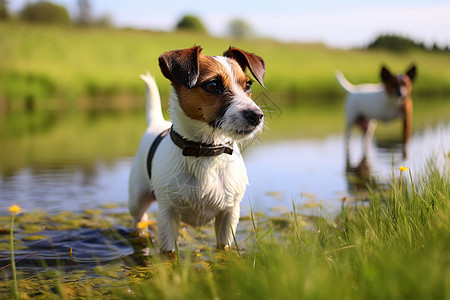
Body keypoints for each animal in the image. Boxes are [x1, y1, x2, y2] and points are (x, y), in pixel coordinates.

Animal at [128, 45, 266, 252]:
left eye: (248, 85)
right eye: (213, 85)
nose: (256, 115)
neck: (206, 151)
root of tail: (156, 122)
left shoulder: (229, 214)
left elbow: (223, 248)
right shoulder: (168, 214)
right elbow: (168, 252)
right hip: (136, 200)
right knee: (139, 220)